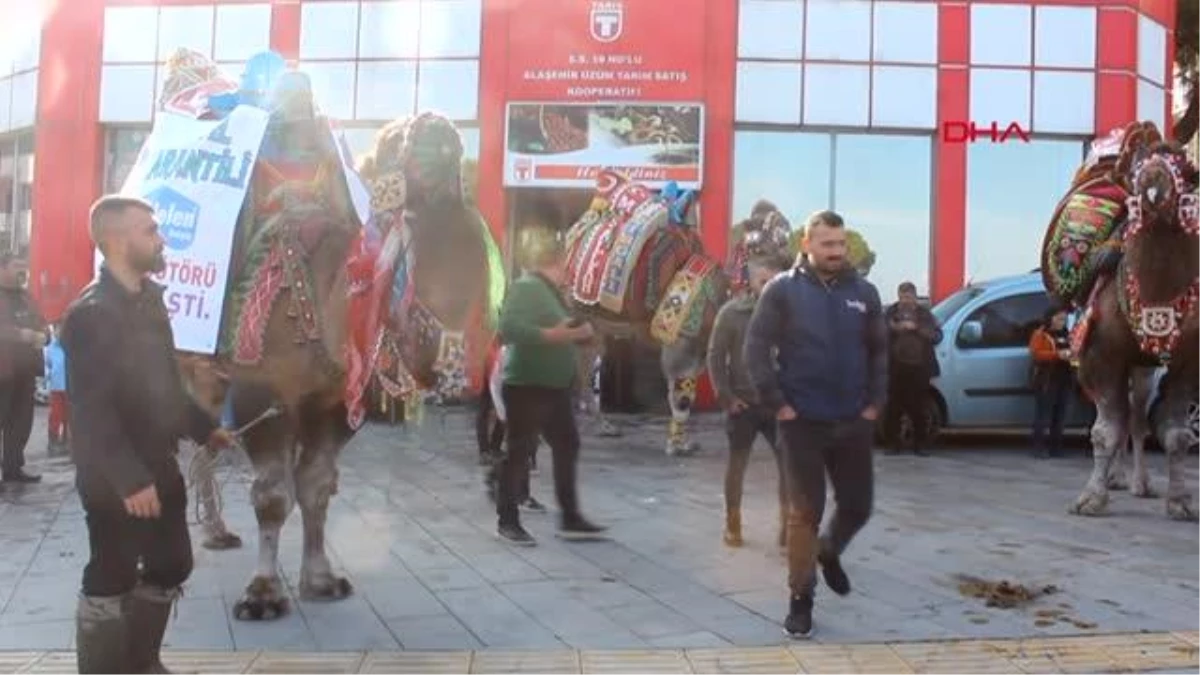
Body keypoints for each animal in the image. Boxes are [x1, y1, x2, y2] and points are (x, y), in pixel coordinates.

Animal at [1041, 120, 1200, 516]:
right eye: (1139, 165)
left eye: (1186, 168)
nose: (1154, 186)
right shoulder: (1100, 354)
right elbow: (1105, 430)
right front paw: (1091, 497)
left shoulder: (1189, 359)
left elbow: (1177, 433)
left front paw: (1181, 502)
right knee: (1123, 417)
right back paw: (1115, 477)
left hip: (1144, 365)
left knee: (1138, 417)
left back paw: (1139, 482)